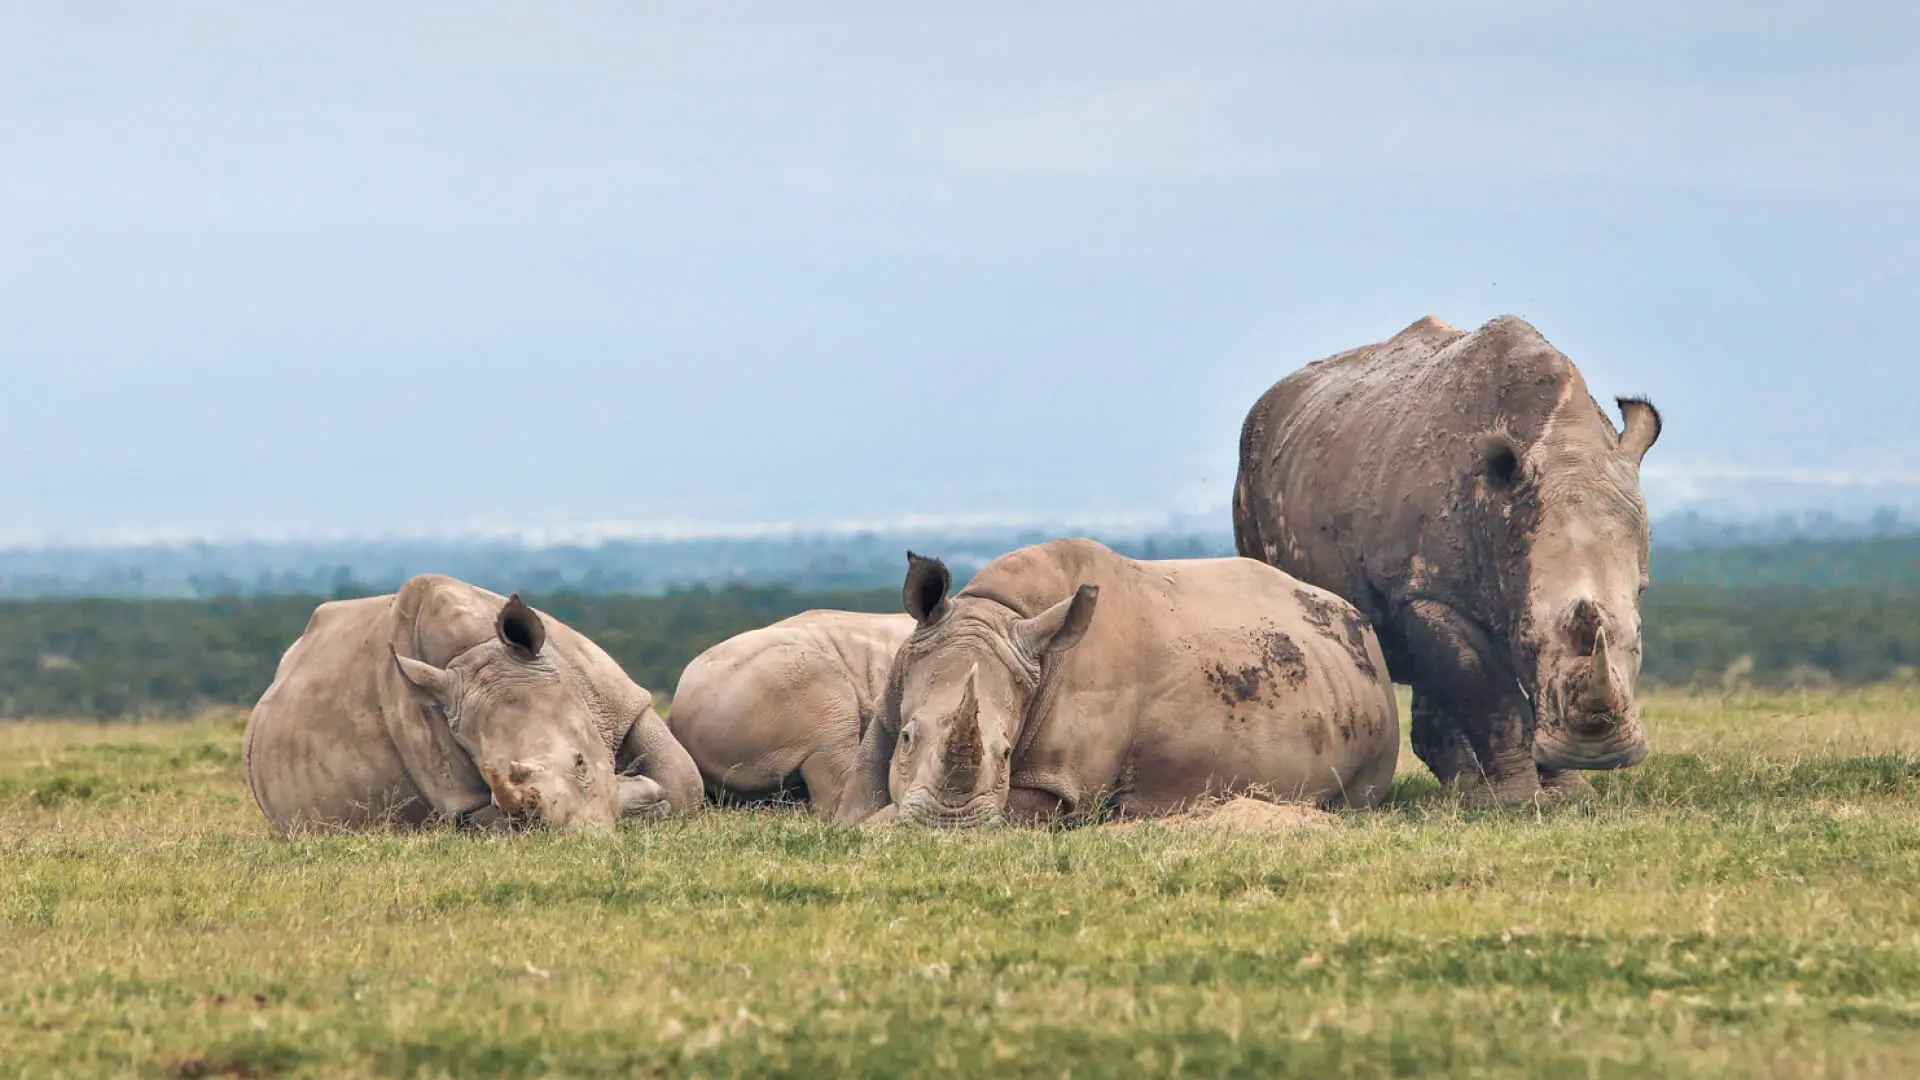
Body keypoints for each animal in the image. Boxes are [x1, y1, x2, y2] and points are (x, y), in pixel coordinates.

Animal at [243, 574, 703, 835]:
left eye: (580, 763)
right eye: (490, 776)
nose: (582, 837)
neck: (476, 652)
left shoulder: (616, 698)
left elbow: (684, 783)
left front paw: (644, 796)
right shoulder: (455, 791)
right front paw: (639, 799)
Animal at [836, 539, 1399, 828]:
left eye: (1007, 752)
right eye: (908, 737)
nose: (948, 827)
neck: (997, 613)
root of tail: (1366, 632)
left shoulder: (1062, 786)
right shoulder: (889, 703)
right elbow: (854, 801)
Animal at [1232, 315, 1662, 801]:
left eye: (1638, 637)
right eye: (1527, 640)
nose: (1598, 754)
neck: (1564, 443)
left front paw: (1570, 795)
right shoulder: (1429, 592)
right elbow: (1491, 696)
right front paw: (1519, 800)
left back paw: (1466, 792)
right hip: (1250, 476)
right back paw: (1471, 792)